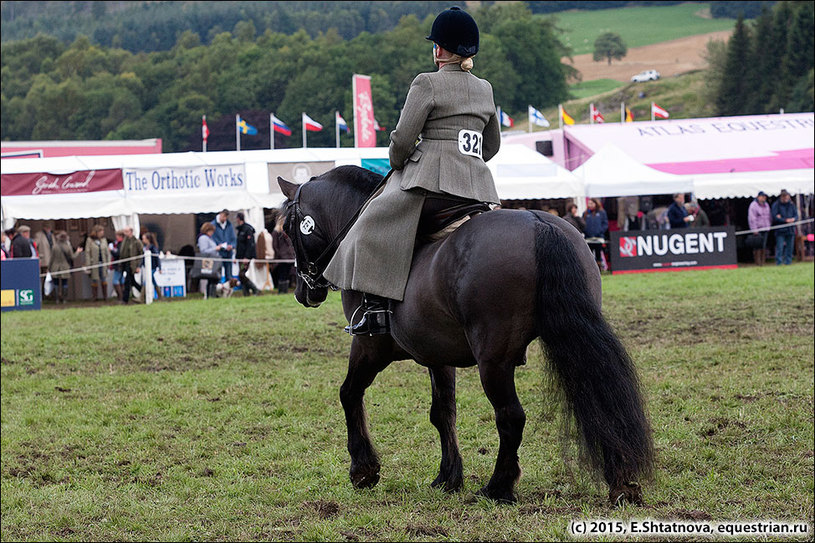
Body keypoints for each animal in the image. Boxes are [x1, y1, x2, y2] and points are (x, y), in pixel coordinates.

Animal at [278, 166, 652, 506]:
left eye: (287, 229)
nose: (304, 292)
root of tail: (537, 222)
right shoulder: (437, 356)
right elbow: (442, 412)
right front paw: (448, 476)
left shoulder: (370, 346)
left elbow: (349, 393)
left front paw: (364, 470)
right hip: (572, 337)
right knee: (598, 395)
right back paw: (622, 483)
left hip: (494, 361)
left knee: (511, 416)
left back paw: (498, 487)